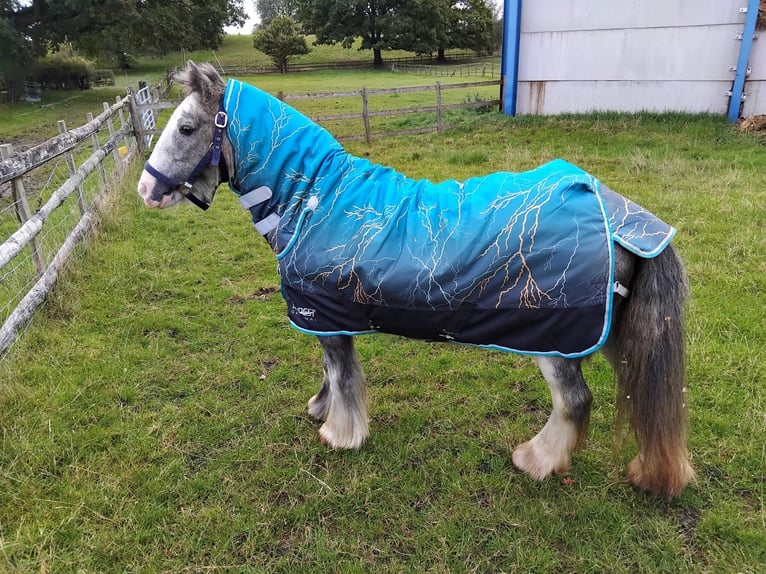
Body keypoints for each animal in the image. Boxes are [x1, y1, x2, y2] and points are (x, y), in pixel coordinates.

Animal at [138, 60, 696, 498]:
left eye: (186, 128)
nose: (146, 189)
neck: (315, 198)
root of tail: (615, 211)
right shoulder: (325, 317)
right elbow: (328, 374)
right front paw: (320, 410)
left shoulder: (326, 317)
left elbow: (341, 377)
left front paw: (340, 435)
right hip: (610, 337)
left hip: (555, 339)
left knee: (575, 403)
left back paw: (536, 460)